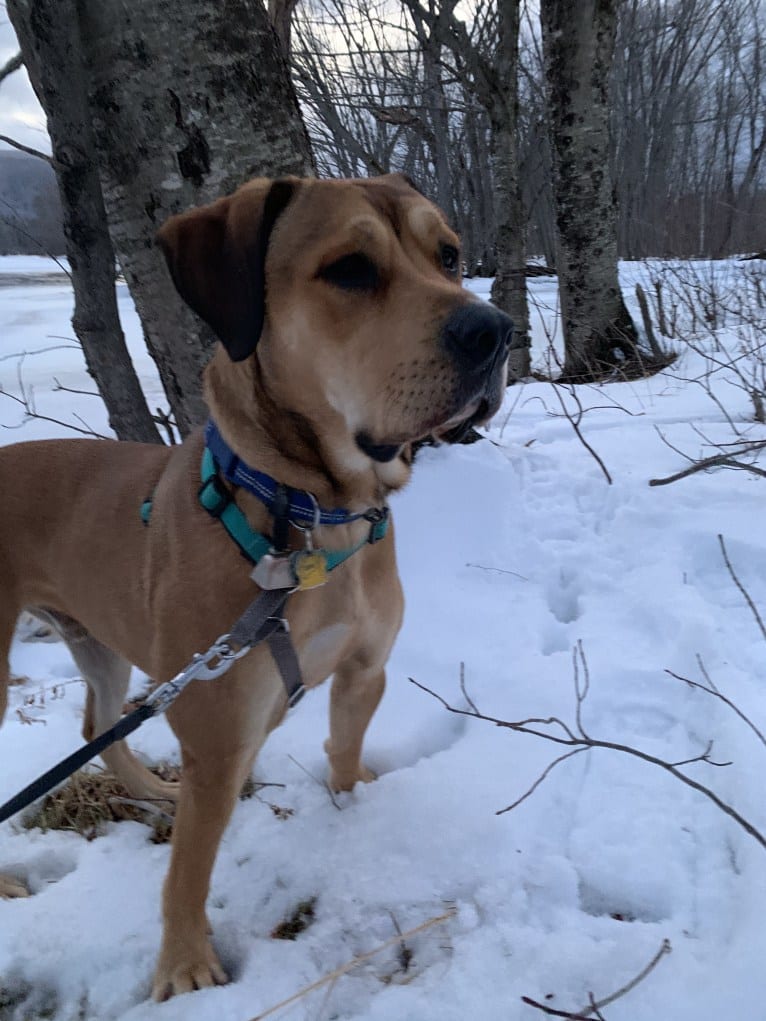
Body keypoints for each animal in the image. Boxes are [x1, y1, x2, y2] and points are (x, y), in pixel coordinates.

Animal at [0, 173, 516, 996]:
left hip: (95, 635)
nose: (494, 331)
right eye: (349, 269)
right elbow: (187, 868)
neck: (313, 516)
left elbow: (343, 751)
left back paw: (153, 788)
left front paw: (354, 812)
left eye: (448, 254)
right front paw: (184, 965)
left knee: (99, 725)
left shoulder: (363, 670)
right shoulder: (218, 732)